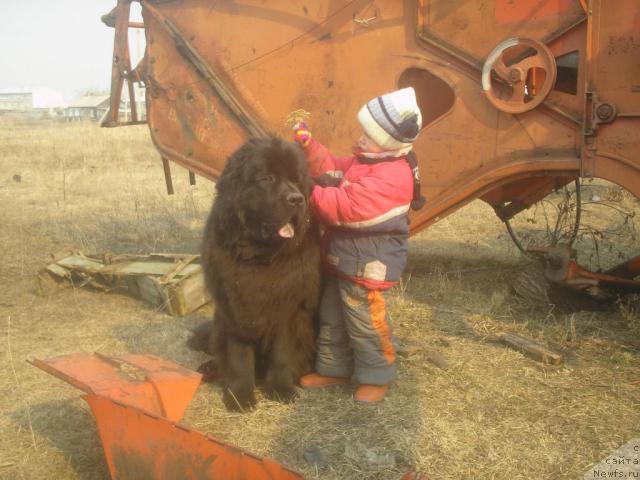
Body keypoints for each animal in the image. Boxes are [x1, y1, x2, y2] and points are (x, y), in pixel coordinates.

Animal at [201, 137, 320, 410]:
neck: (259, 259)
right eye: (267, 178)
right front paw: (240, 395)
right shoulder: (235, 310)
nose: (297, 199)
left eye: (297, 180)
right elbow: (239, 356)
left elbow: (282, 353)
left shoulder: (288, 309)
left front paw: (281, 388)